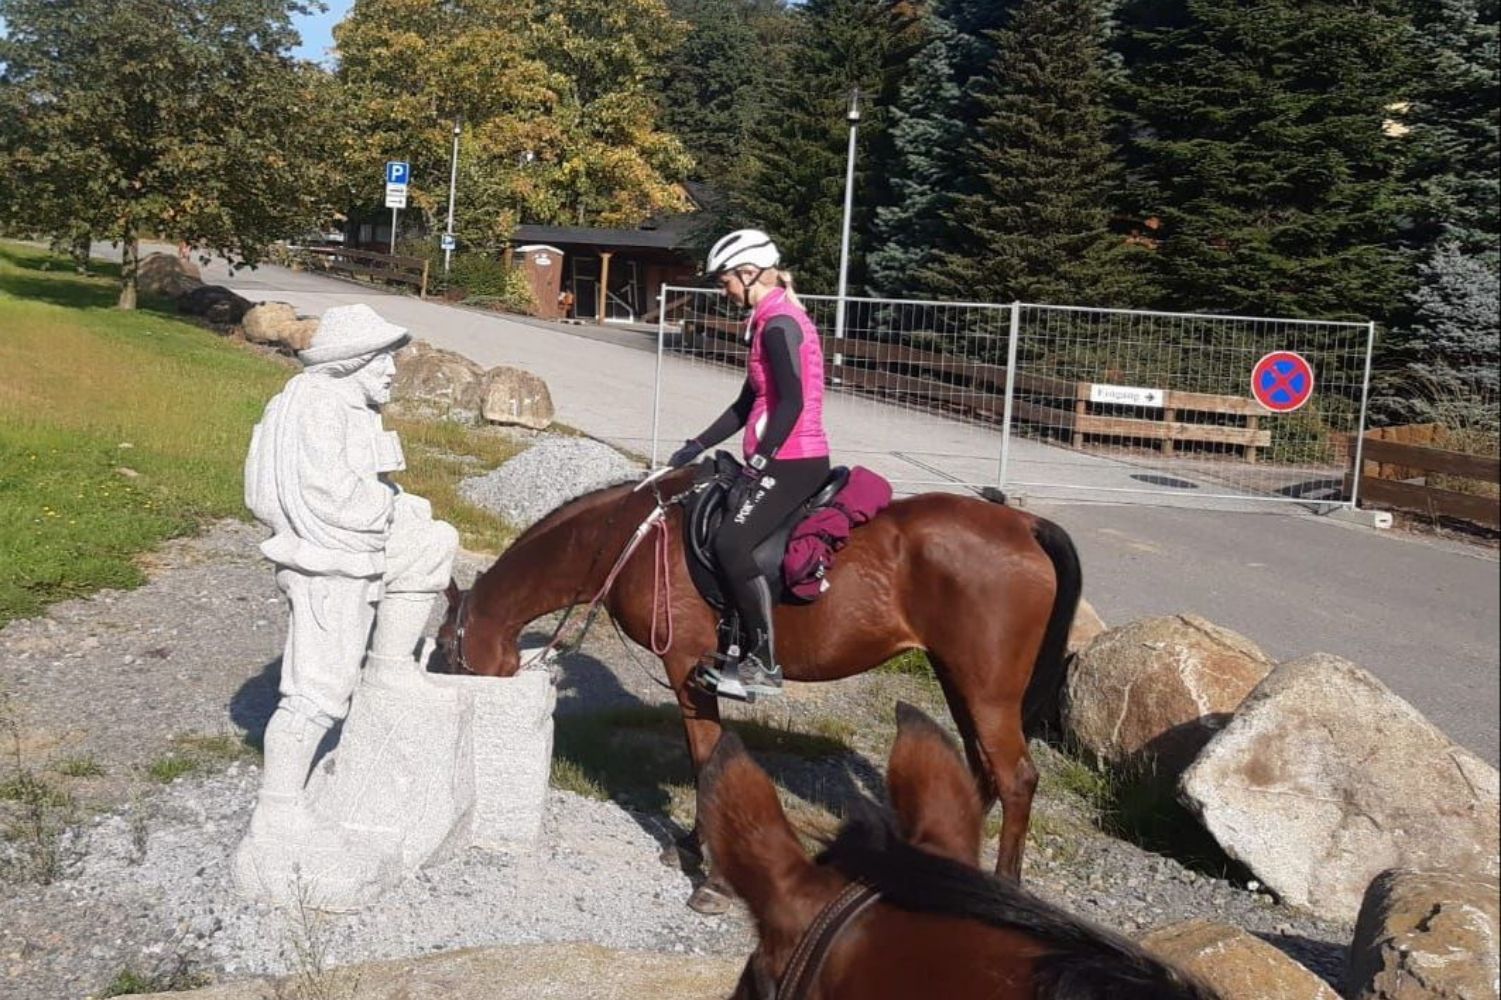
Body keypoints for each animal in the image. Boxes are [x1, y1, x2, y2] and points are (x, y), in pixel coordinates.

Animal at [438, 462, 1086, 906]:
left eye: (445, 650)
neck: (633, 540)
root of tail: (1023, 523)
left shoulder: (686, 665)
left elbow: (707, 757)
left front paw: (713, 876)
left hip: (988, 689)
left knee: (1016, 778)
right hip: (958, 677)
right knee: (981, 771)